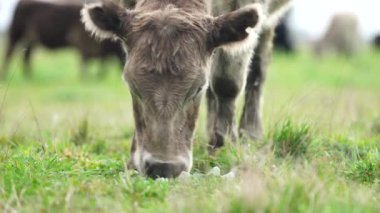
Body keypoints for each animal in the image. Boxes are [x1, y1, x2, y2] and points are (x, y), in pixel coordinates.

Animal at [81, 0, 290, 179]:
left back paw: (250, 134)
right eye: (132, 86)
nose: (163, 167)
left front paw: (225, 147)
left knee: (257, 68)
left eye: (198, 87)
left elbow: (227, 83)